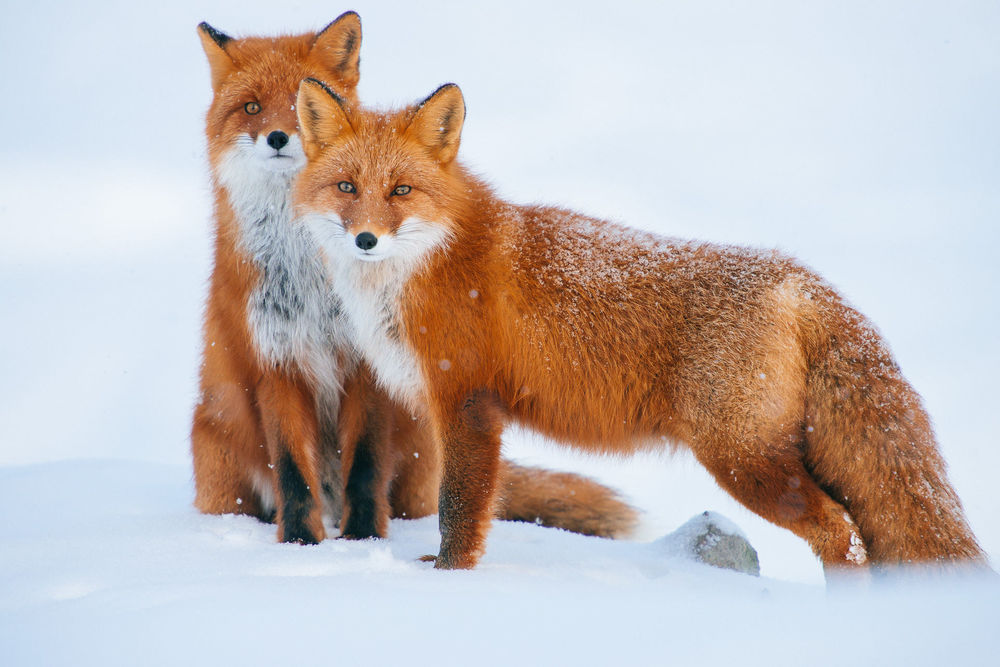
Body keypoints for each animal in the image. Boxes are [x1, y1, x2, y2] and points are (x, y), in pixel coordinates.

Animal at [292, 78, 988, 576]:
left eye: (401, 191)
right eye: (347, 187)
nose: (365, 239)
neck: (428, 265)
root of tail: (797, 278)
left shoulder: (466, 403)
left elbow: (458, 509)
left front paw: (448, 578)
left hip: (742, 461)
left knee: (842, 534)